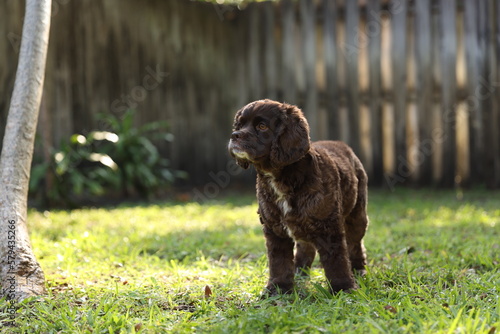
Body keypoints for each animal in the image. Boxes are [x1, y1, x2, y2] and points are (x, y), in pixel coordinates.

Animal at [229, 100, 370, 294]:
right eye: (240, 125)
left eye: (262, 126)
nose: (234, 135)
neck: (282, 177)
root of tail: (342, 144)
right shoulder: (275, 229)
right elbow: (279, 262)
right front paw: (278, 288)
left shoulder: (329, 226)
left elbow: (337, 260)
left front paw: (343, 288)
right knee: (305, 246)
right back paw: (300, 271)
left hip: (357, 216)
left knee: (355, 243)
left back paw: (358, 269)